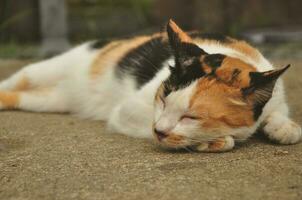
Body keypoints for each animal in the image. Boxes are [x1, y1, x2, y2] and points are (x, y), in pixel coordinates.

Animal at [0, 19, 300, 152]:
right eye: (163, 100)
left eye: (192, 116)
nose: (159, 131)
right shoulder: (127, 110)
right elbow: (224, 140)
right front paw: (213, 141)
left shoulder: (275, 96)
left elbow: (282, 118)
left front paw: (283, 128)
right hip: (39, 71)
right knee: (13, 81)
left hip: (48, 100)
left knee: (17, 97)